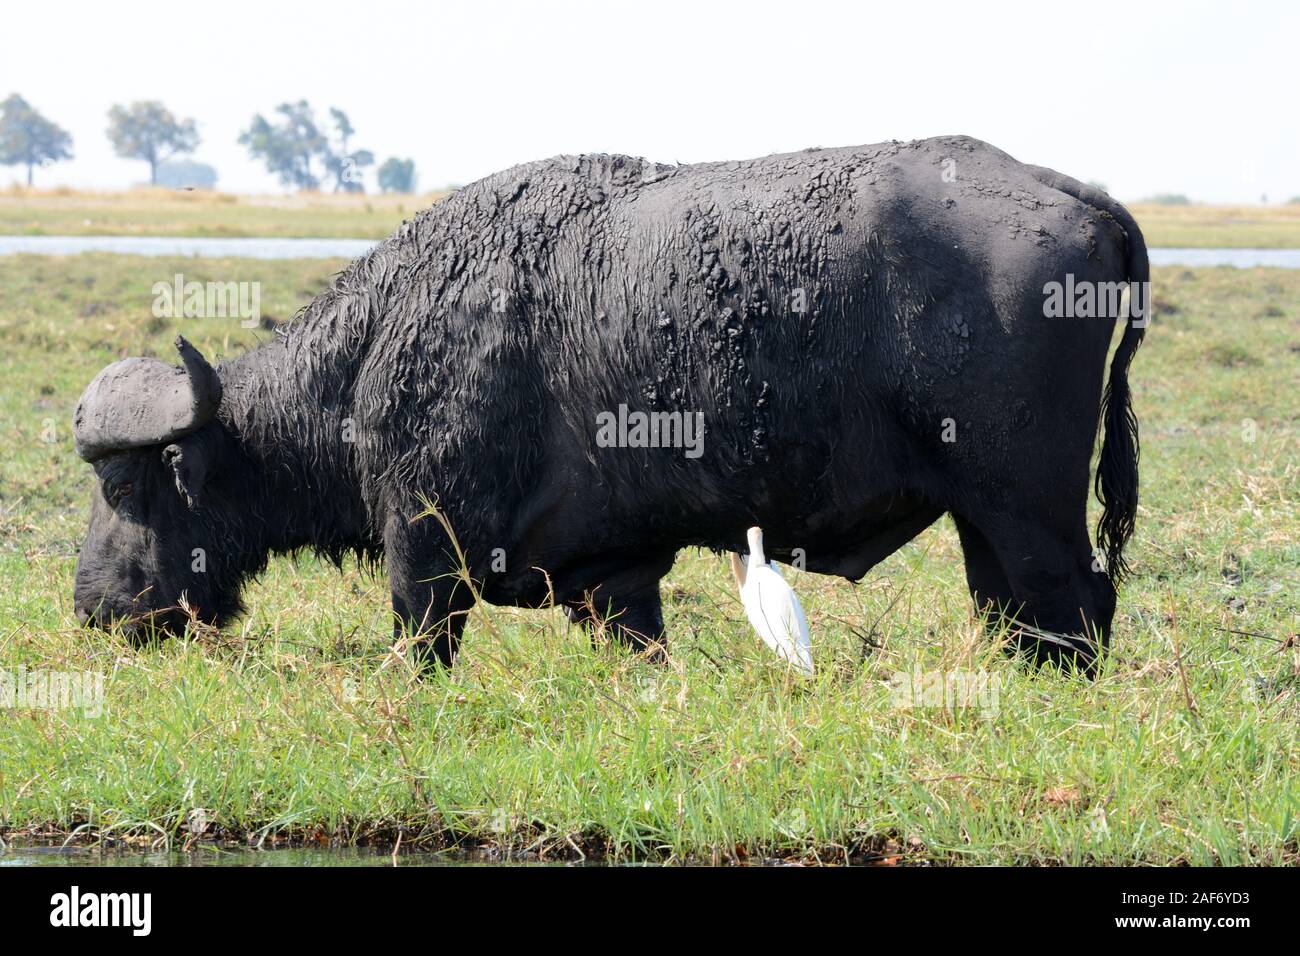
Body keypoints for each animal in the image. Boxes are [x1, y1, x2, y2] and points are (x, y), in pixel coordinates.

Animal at [72, 135, 1145, 672]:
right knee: (1015, 616)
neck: (383, 342)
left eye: (127, 487)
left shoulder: (423, 551)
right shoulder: (616, 578)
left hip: (1028, 512)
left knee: (1075, 612)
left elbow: (417, 646)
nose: (93, 608)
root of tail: (1068, 193)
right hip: (985, 523)